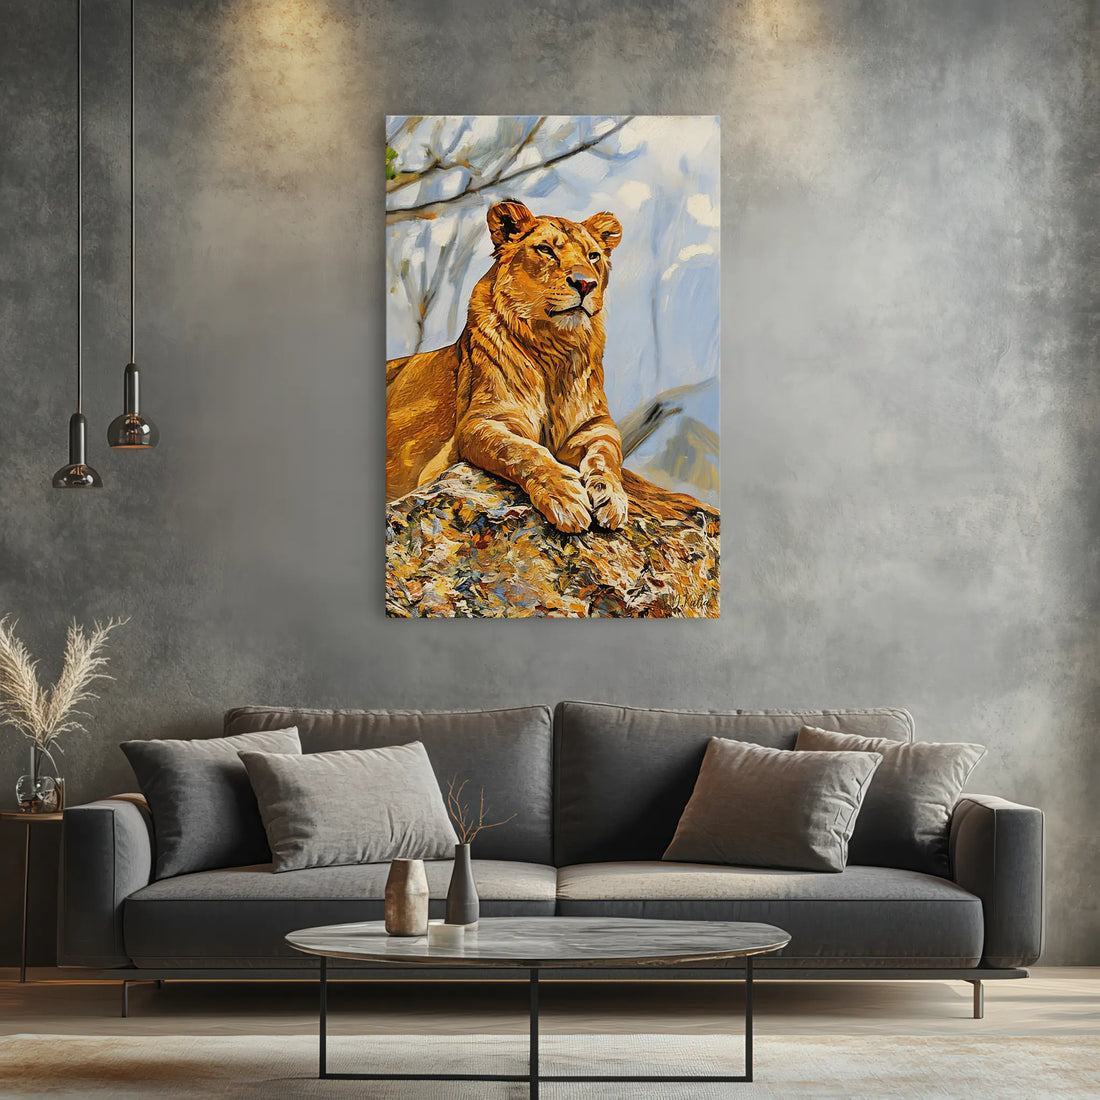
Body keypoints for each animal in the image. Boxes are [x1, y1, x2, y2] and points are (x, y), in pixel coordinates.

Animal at [386, 199, 708, 534]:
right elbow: (523, 451)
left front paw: (612, 498)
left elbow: (608, 456)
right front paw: (565, 497)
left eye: (593, 255)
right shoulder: (480, 423)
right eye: (546, 250)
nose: (585, 283)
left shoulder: (596, 425)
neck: (555, 349)